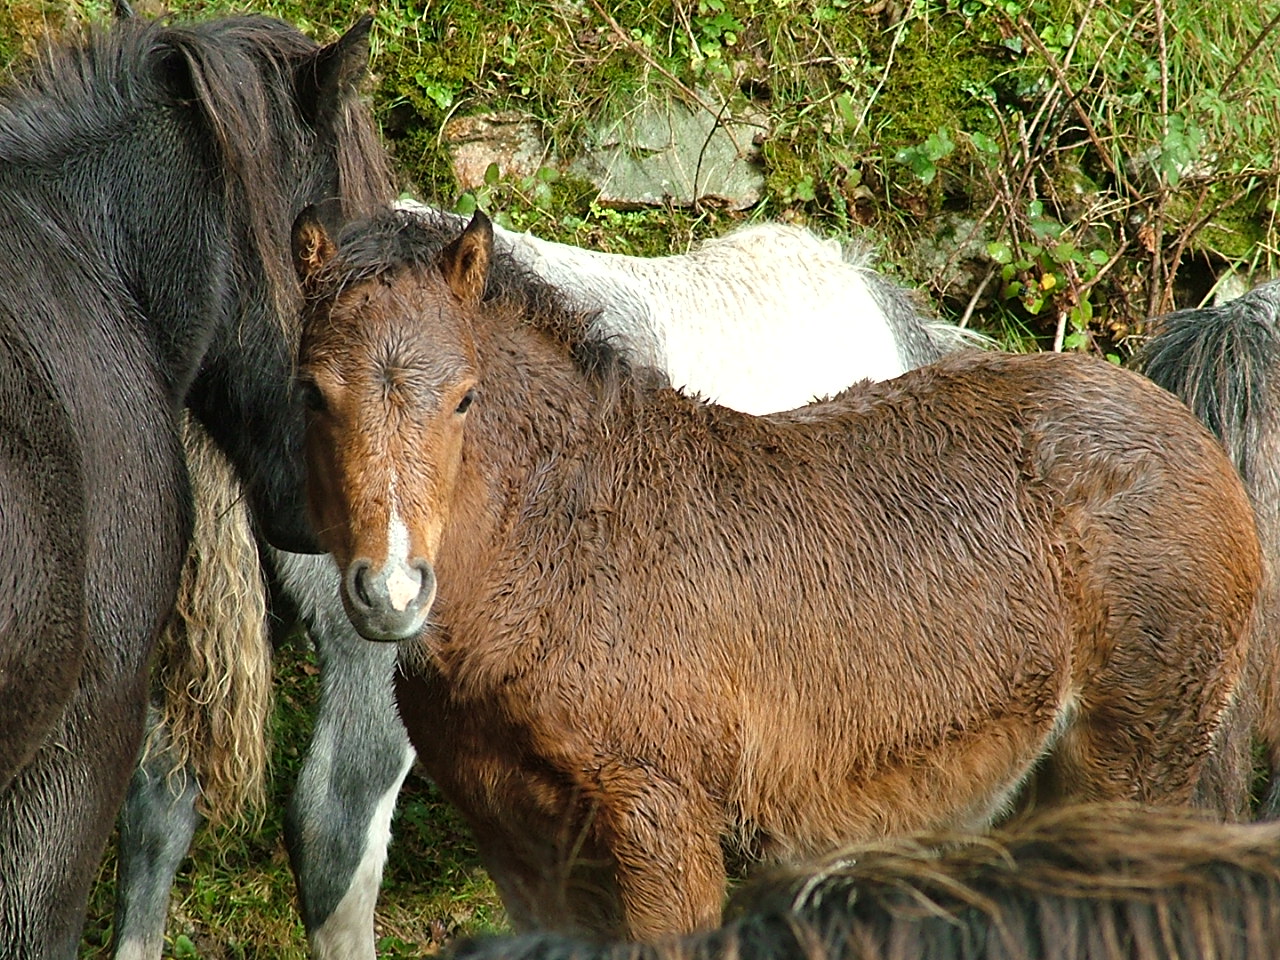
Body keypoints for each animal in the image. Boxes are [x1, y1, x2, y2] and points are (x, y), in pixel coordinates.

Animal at [292, 206, 1260, 941]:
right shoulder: (520, 851)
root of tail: (1189, 424)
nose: (391, 591)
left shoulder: (663, 831)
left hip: (1134, 773)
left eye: (465, 396)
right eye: (311, 392)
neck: (565, 547)